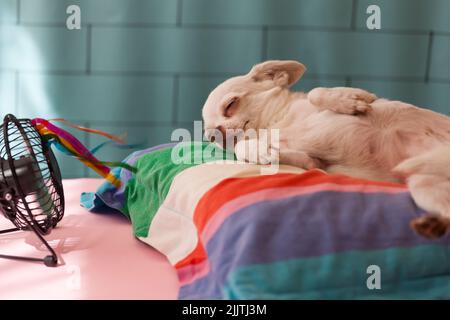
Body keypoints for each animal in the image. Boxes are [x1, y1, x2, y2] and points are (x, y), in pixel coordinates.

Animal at [202, 60, 450, 238]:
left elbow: (316, 92)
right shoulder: (312, 161)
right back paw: (434, 225)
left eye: (231, 105)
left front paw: (350, 100)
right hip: (424, 185)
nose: (213, 134)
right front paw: (258, 151)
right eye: (210, 136)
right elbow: (244, 147)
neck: (278, 124)